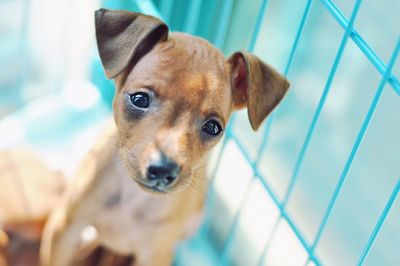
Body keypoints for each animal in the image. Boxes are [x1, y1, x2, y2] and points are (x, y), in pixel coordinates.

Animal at [40, 9, 290, 266]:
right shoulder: (65, 228)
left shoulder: (154, 255)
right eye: (139, 99)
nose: (162, 170)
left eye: (213, 127)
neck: (132, 197)